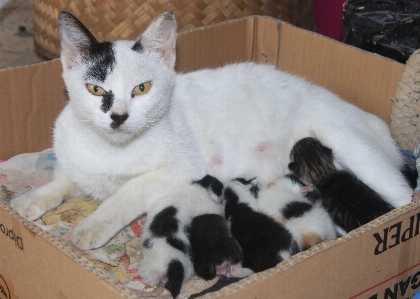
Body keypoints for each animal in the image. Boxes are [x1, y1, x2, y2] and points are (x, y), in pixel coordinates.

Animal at [11, 11, 412, 253]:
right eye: (95, 90)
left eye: (142, 88)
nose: (119, 117)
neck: (112, 149)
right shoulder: (73, 157)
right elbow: (64, 179)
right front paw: (30, 200)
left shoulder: (180, 168)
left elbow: (126, 194)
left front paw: (92, 225)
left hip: (351, 145)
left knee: (403, 198)